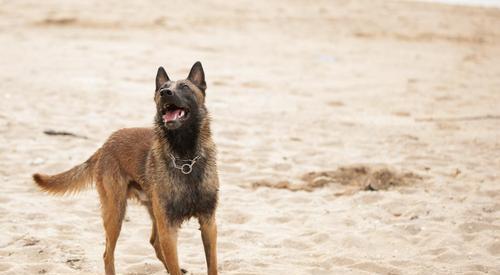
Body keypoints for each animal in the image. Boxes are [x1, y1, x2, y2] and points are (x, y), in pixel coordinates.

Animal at [32, 62, 218, 275]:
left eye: (185, 87)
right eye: (163, 88)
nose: (165, 92)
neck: (185, 158)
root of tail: (106, 144)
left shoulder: (208, 224)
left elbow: (212, 266)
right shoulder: (169, 228)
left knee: (154, 242)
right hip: (116, 212)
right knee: (108, 254)